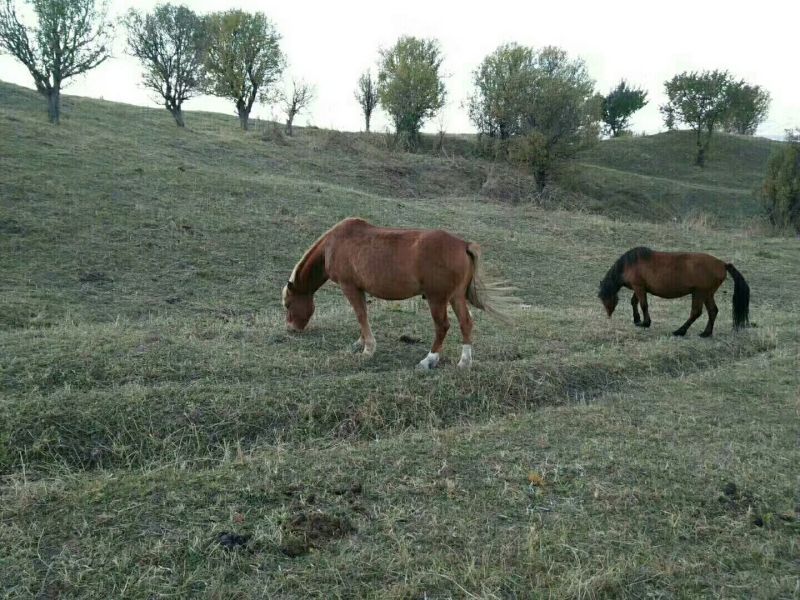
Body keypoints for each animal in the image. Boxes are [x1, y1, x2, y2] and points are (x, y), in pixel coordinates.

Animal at [282, 217, 511, 369]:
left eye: (287, 304)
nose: (291, 328)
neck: (334, 243)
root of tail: (463, 245)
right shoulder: (360, 289)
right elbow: (362, 315)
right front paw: (361, 341)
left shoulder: (350, 287)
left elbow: (361, 315)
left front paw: (368, 349)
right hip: (455, 297)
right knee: (466, 323)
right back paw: (464, 362)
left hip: (437, 299)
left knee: (442, 326)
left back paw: (429, 360)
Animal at [598, 247, 750, 337]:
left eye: (603, 297)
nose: (608, 315)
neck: (630, 264)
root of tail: (722, 264)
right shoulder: (640, 287)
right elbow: (634, 302)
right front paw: (637, 320)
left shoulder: (639, 287)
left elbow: (643, 305)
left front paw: (645, 322)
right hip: (707, 294)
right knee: (713, 311)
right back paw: (706, 333)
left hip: (699, 293)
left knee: (696, 312)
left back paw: (680, 331)